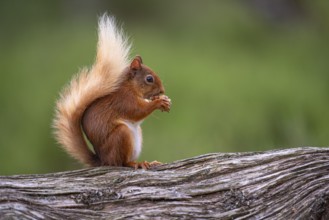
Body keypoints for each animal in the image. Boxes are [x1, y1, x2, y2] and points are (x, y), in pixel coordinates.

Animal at [52, 14, 170, 169]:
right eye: (149, 79)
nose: (162, 91)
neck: (130, 87)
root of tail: (103, 160)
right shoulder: (124, 100)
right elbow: (137, 111)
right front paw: (159, 102)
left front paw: (164, 100)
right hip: (121, 136)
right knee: (121, 162)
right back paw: (136, 163)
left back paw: (149, 162)